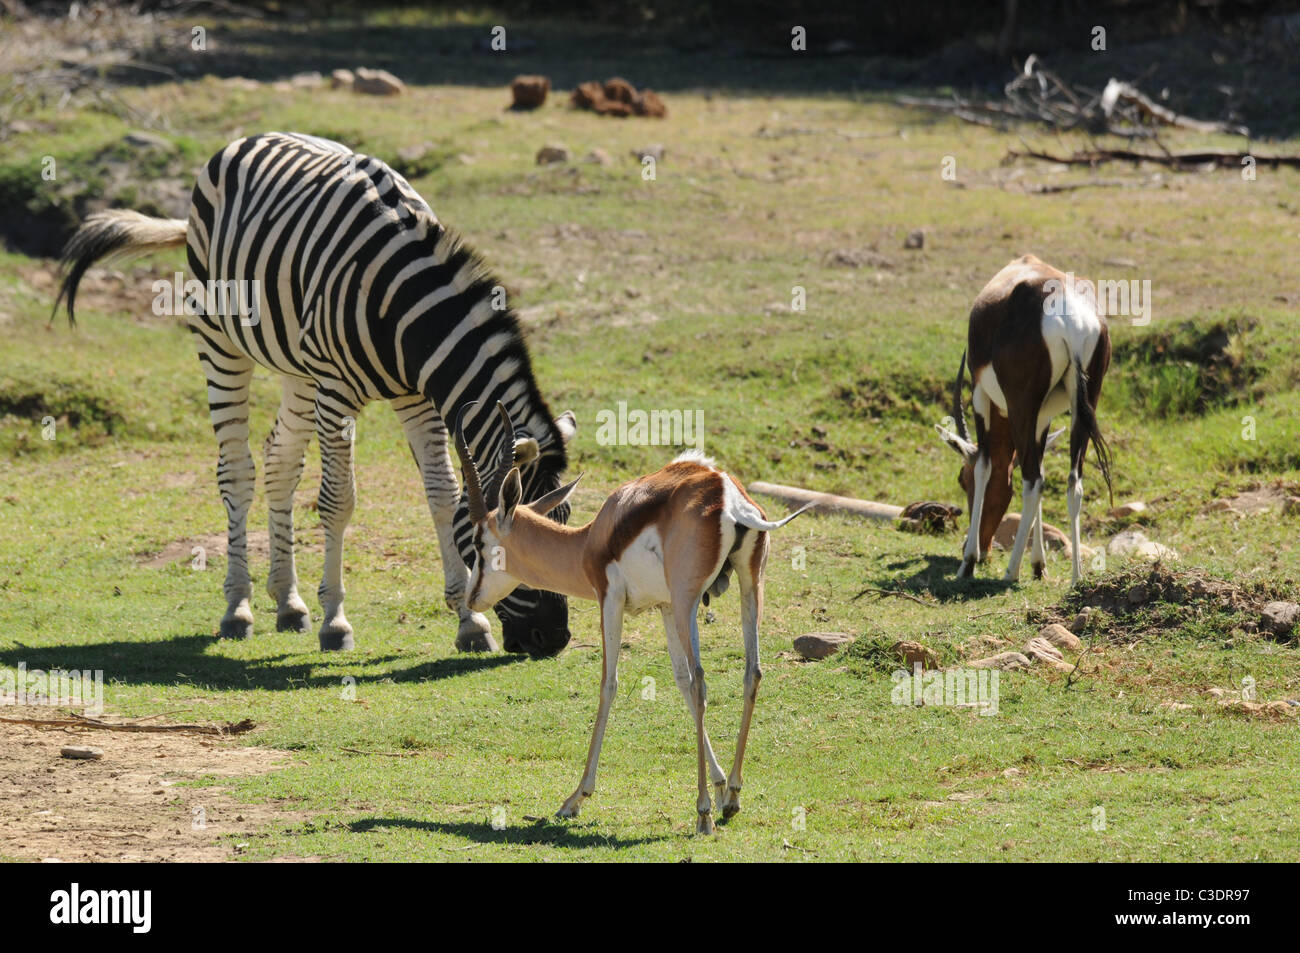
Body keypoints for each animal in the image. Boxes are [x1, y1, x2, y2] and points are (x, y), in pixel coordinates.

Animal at [54, 131, 574, 655]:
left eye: (568, 519)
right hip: (219, 341)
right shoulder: (337, 392)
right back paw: (238, 608)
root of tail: (250, 138)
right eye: (501, 549)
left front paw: (469, 621)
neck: (406, 310)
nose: (552, 638)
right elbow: (338, 500)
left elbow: (443, 495)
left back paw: (288, 602)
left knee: (279, 463)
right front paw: (336, 622)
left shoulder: (417, 397)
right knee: (236, 471)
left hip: (298, 372)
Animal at [452, 397, 806, 826]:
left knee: (703, 680)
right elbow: (680, 681)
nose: (472, 598)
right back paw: (733, 796)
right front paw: (722, 786)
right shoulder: (665, 607)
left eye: (478, 541)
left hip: (689, 600)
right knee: (750, 671)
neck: (589, 541)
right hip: (748, 583)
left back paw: (703, 812)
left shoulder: (611, 600)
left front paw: (575, 798)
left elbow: (610, 683)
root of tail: (726, 495)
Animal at [941, 252, 1112, 582]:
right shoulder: (1042, 416)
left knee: (1033, 481)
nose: (983, 547)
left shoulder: (981, 396)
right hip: (1084, 405)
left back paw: (1010, 571)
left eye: (962, 480)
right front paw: (1038, 564)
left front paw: (968, 563)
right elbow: (1042, 464)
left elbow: (985, 465)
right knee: (1072, 481)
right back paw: (1076, 578)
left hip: (1020, 406)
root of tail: (1072, 318)